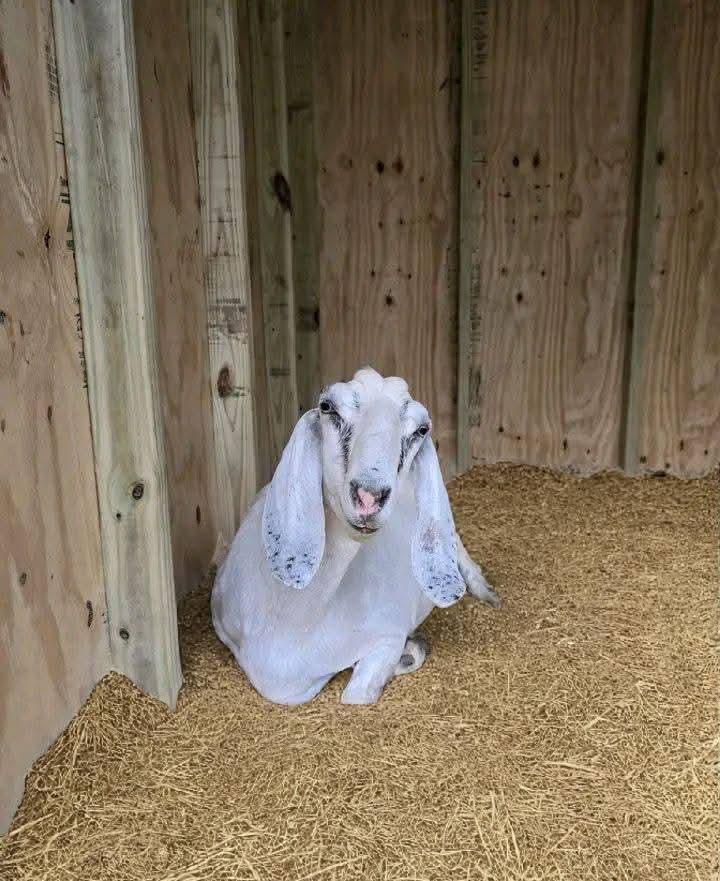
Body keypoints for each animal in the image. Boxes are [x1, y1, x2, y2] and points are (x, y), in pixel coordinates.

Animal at [212, 367, 500, 705]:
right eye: (327, 407)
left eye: (421, 429)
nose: (369, 496)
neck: (296, 622)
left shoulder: (388, 632)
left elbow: (357, 696)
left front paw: (410, 652)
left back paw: (485, 591)